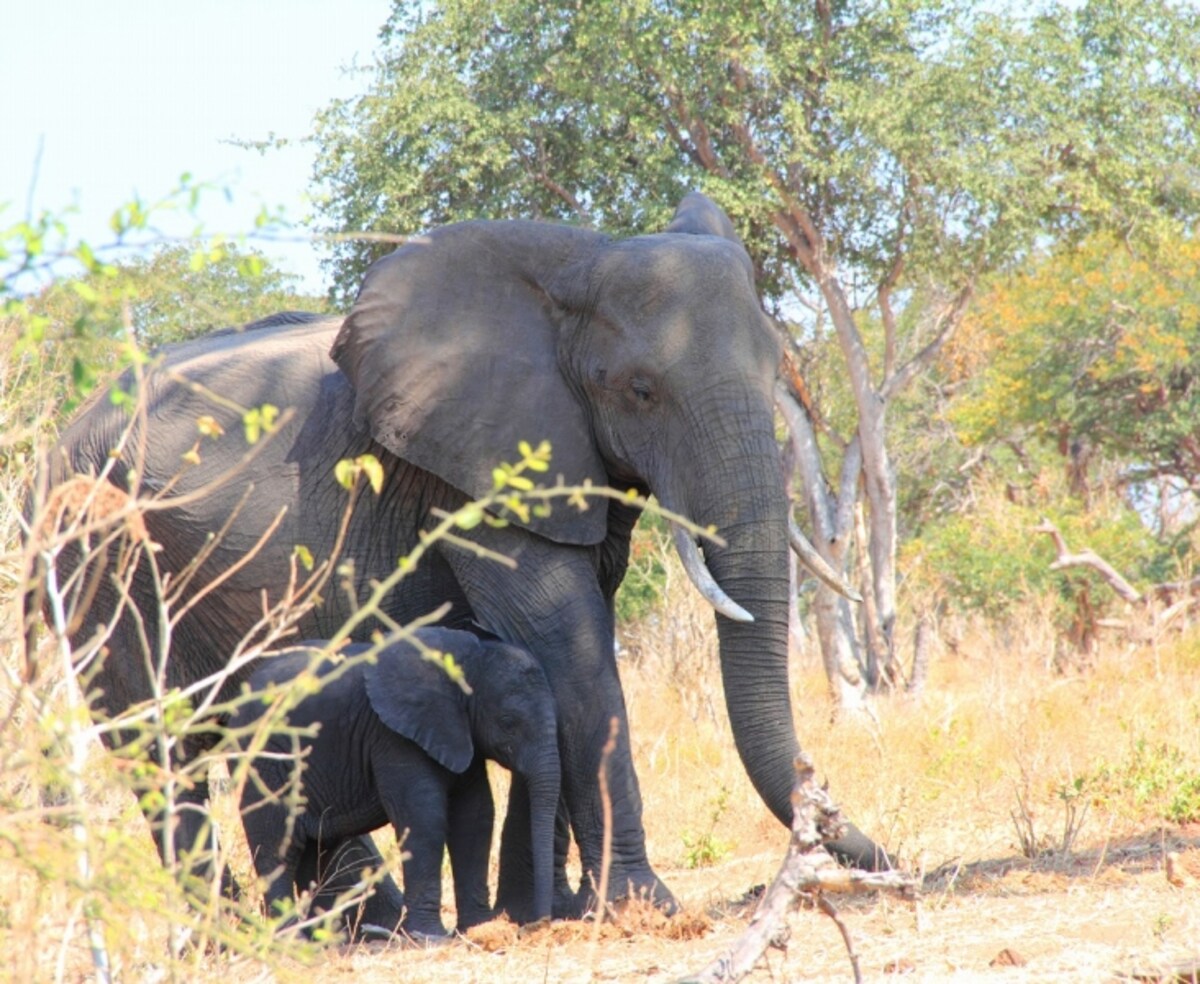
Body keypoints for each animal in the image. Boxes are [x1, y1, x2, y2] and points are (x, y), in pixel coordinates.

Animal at [230, 627, 559, 937]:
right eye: (508, 723)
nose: (540, 923)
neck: (468, 658)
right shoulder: (393, 737)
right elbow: (424, 818)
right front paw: (431, 937)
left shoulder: (459, 735)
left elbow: (475, 817)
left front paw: (478, 929)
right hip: (264, 761)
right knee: (279, 845)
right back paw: (291, 940)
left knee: (316, 851)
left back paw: (324, 941)